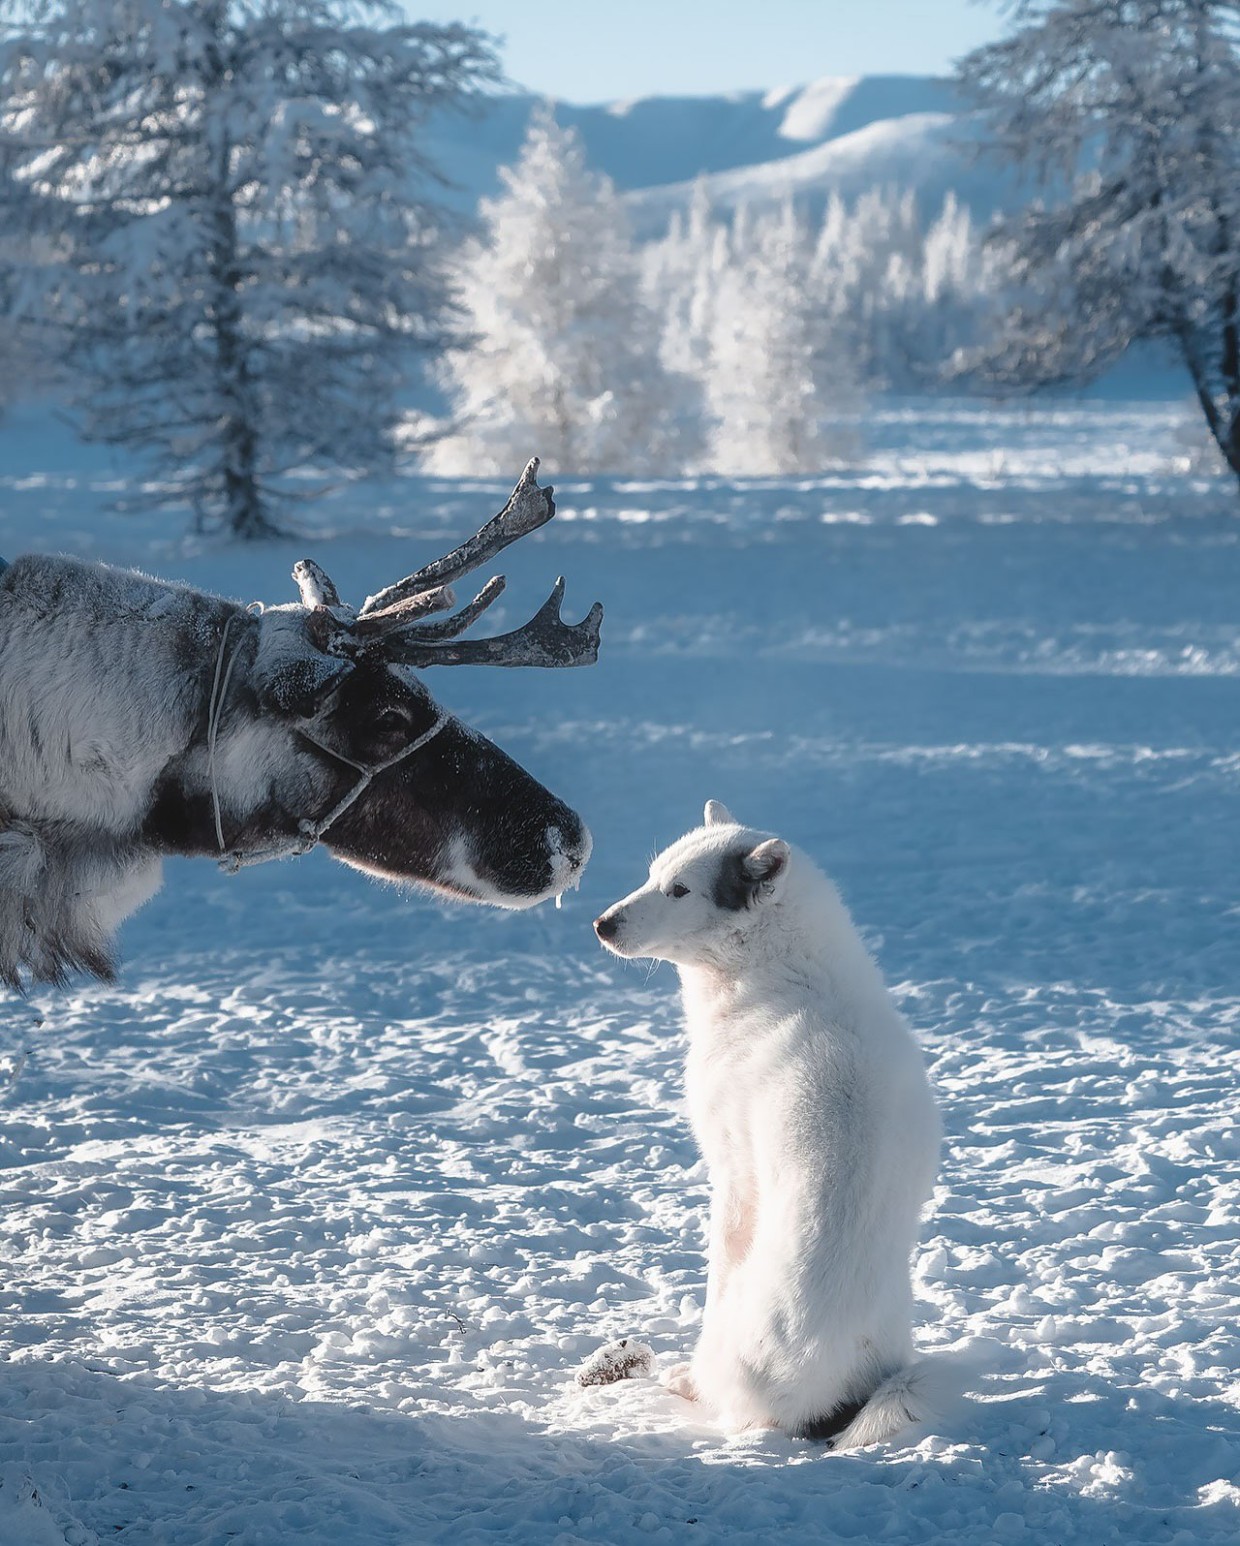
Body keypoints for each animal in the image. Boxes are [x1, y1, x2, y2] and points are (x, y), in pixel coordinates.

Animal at [593, 803, 940, 1440]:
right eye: (653, 875)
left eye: (680, 890)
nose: (601, 924)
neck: (781, 974)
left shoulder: (732, 1171)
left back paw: (687, 1381)